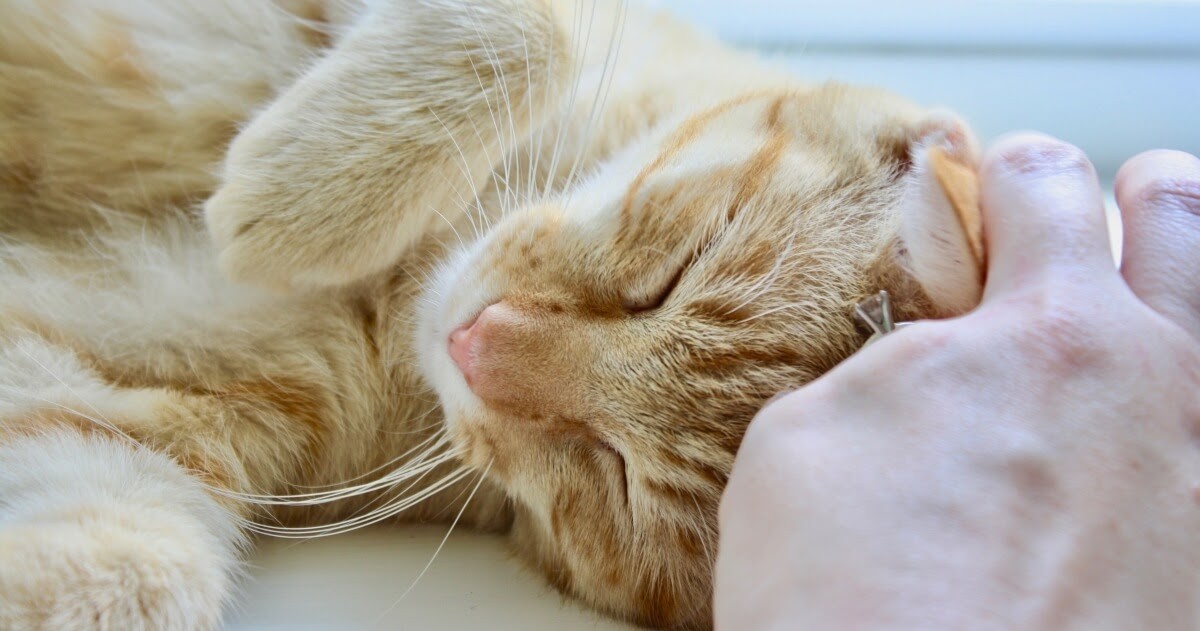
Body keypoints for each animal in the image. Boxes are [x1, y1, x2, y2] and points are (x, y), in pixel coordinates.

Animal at [0, 0, 984, 628]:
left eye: (616, 474)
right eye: (671, 274)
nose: (477, 341)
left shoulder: (118, 408)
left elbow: (129, 573)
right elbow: (531, 26)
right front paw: (297, 197)